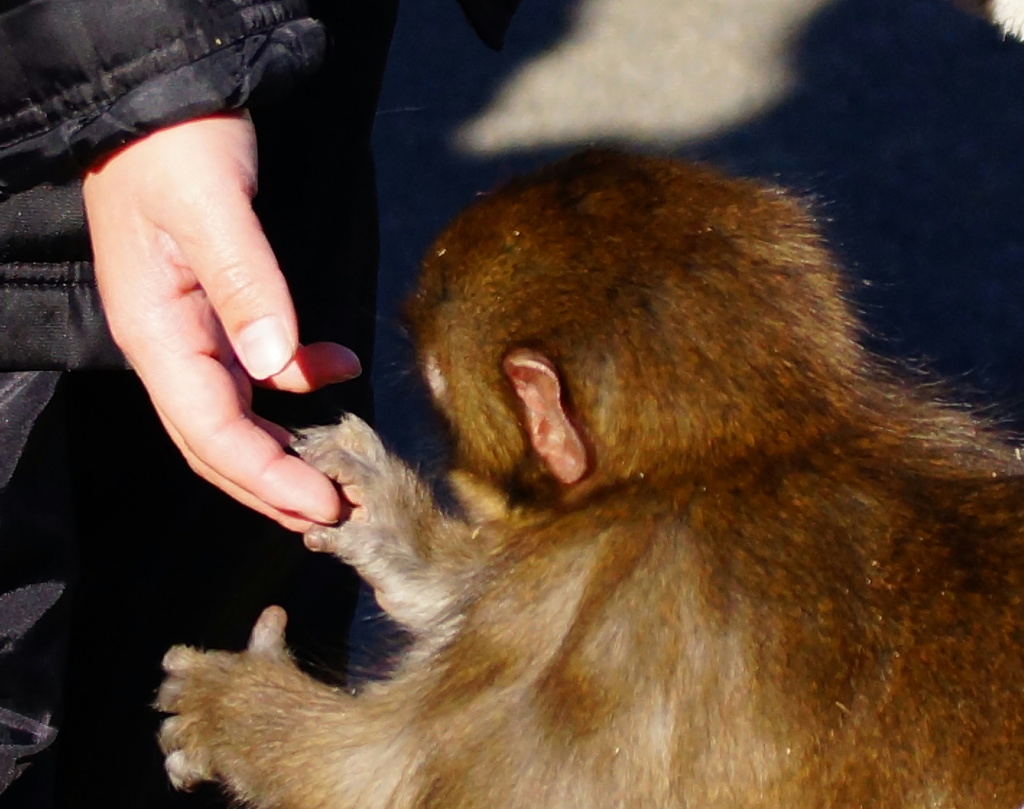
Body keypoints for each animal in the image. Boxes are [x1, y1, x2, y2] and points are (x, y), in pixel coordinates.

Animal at [157, 151, 1024, 809]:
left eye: (436, 385)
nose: (456, 474)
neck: (734, 457)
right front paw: (389, 517)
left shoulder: (612, 598)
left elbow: (399, 784)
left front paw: (235, 710)